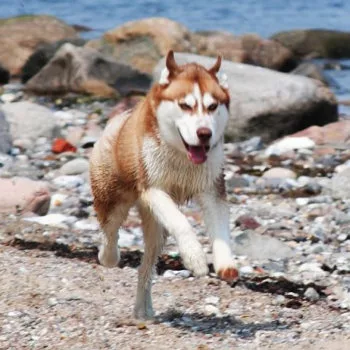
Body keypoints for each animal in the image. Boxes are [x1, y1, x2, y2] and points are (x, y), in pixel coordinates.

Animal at [89, 52, 238, 320]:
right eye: (186, 105)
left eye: (212, 106)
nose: (204, 133)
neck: (182, 157)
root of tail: (118, 120)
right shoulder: (153, 188)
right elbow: (181, 222)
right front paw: (195, 257)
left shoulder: (213, 189)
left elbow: (220, 228)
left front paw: (225, 263)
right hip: (112, 196)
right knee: (109, 232)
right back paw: (108, 256)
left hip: (156, 230)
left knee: (146, 265)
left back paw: (143, 308)